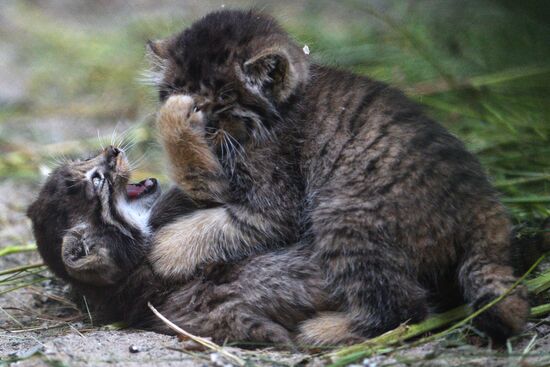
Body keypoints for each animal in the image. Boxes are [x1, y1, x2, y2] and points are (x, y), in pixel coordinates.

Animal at [146, 8, 532, 342]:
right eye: (179, 86)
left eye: (225, 95)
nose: (201, 114)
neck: (282, 109)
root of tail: (482, 204)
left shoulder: (273, 205)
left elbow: (215, 219)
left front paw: (165, 250)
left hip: (343, 214)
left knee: (406, 308)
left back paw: (324, 330)